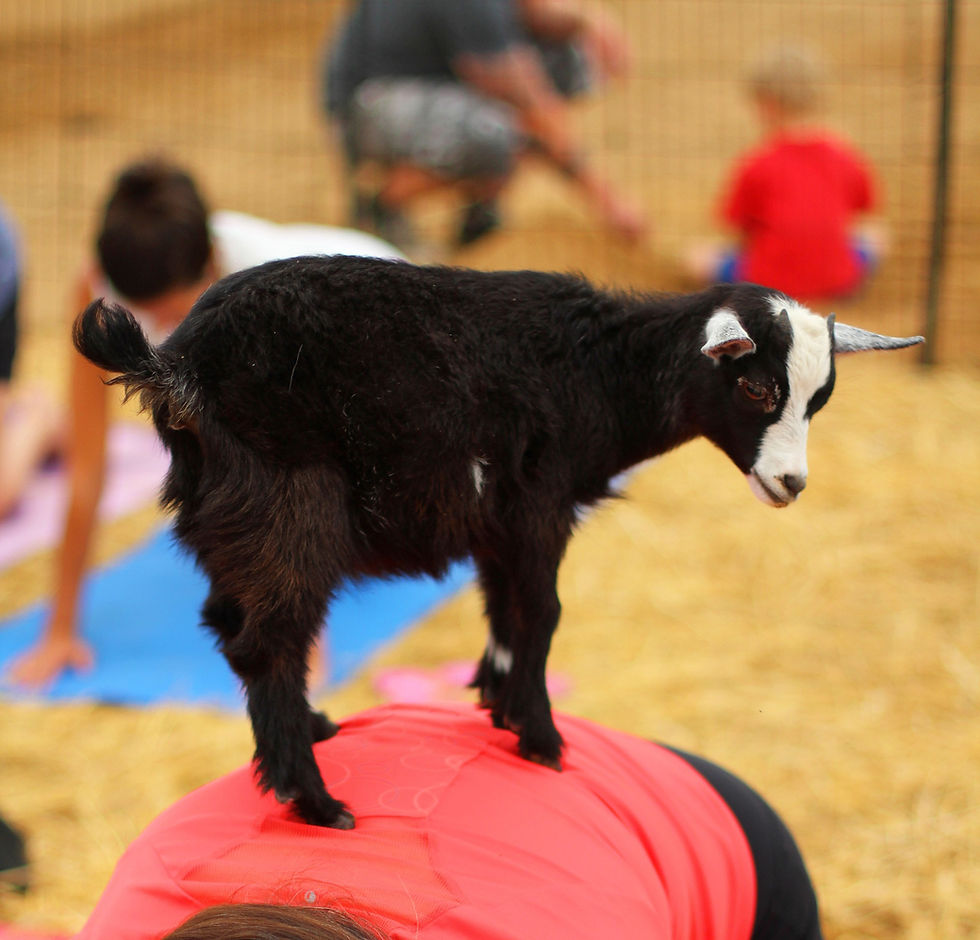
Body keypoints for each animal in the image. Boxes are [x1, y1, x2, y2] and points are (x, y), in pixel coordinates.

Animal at [73, 256, 923, 828]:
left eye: (822, 399)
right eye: (755, 387)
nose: (790, 483)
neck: (600, 368)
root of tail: (174, 365)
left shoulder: (494, 522)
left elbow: (504, 615)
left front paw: (501, 707)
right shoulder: (538, 505)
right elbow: (541, 615)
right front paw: (542, 740)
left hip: (229, 524)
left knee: (233, 630)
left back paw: (305, 736)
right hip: (291, 508)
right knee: (269, 643)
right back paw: (314, 799)